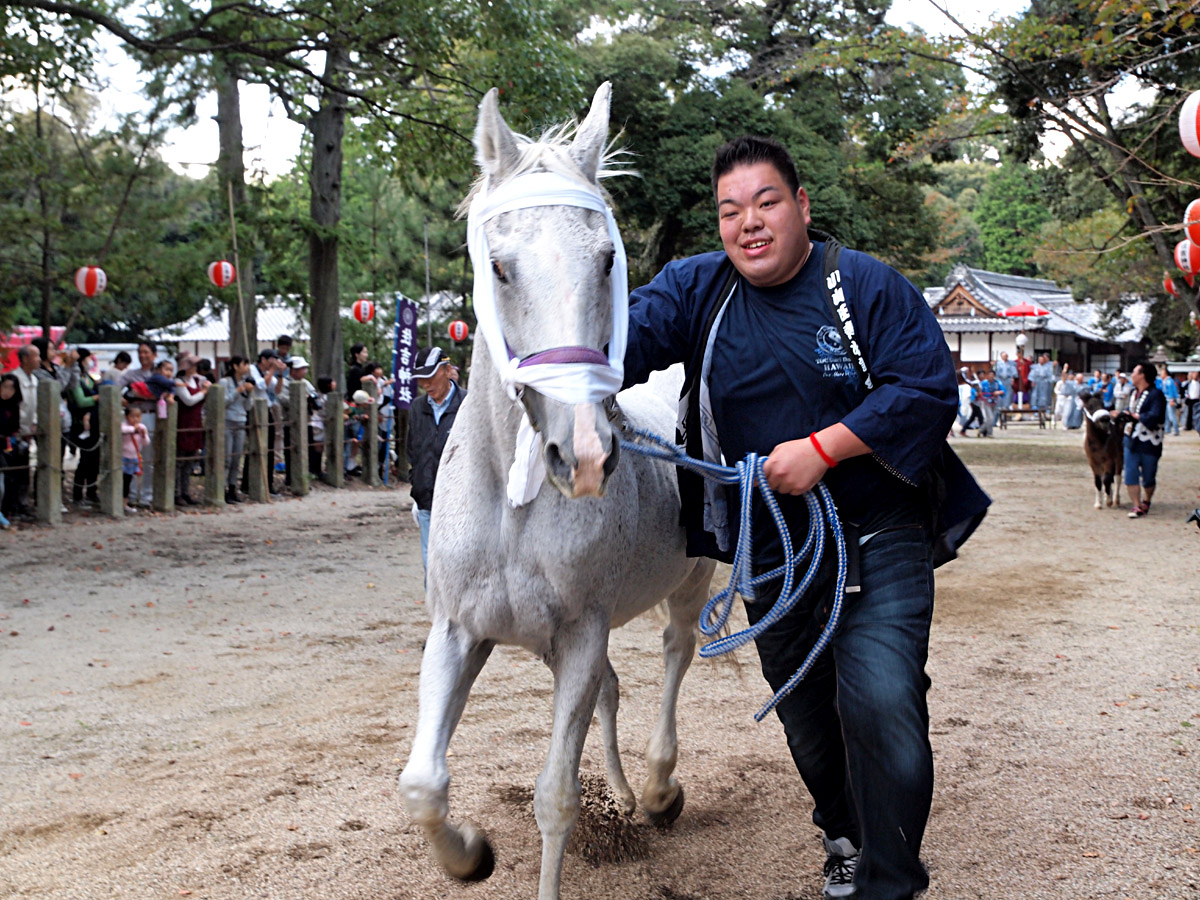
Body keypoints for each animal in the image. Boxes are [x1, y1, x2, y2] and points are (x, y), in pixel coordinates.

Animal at [398, 81, 710, 897]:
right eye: (500, 267)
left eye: (606, 259)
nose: (586, 454)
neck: (512, 510)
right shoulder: (460, 631)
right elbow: (423, 783)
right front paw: (469, 855)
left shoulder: (579, 634)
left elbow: (556, 798)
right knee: (614, 690)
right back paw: (630, 795)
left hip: (693, 579)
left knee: (676, 651)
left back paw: (659, 789)